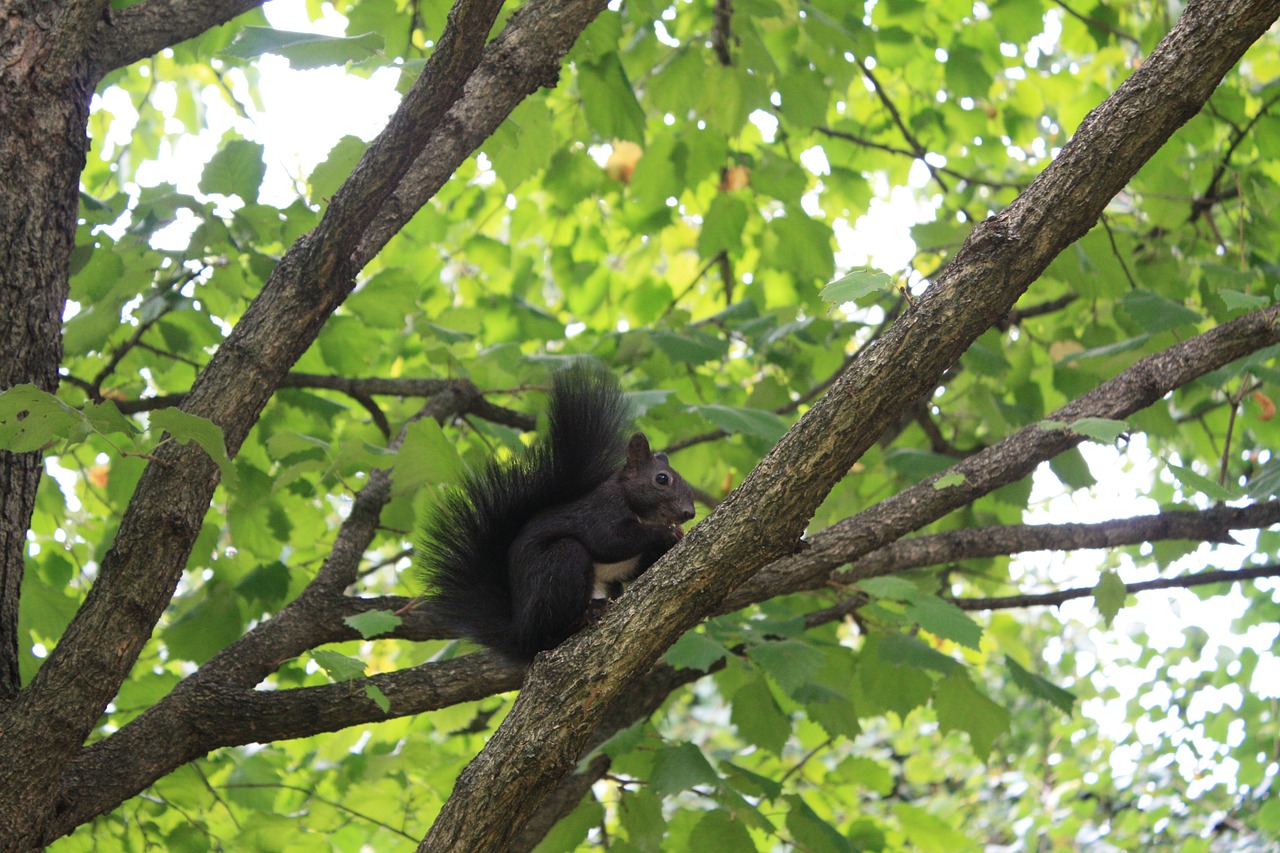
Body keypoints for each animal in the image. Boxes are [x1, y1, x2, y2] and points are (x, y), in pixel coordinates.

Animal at [417, 361, 701, 660]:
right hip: (560, 565)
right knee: (551, 632)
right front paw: (665, 532)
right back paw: (585, 616)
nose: (688, 513)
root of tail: (520, 635)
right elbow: (610, 542)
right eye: (662, 479)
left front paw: (674, 538)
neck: (639, 512)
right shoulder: (600, 512)